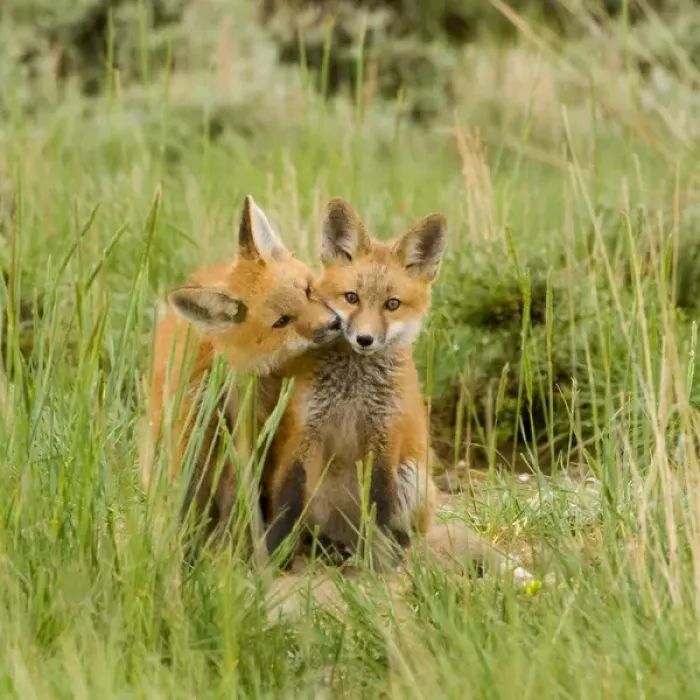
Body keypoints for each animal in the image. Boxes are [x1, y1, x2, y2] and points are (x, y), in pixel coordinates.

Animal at [263, 197, 446, 571]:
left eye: (392, 304)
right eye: (351, 297)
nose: (364, 339)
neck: (352, 391)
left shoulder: (384, 439)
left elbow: (379, 506)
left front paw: (377, 565)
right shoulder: (306, 431)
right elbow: (288, 502)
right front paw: (275, 557)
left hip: (413, 478)